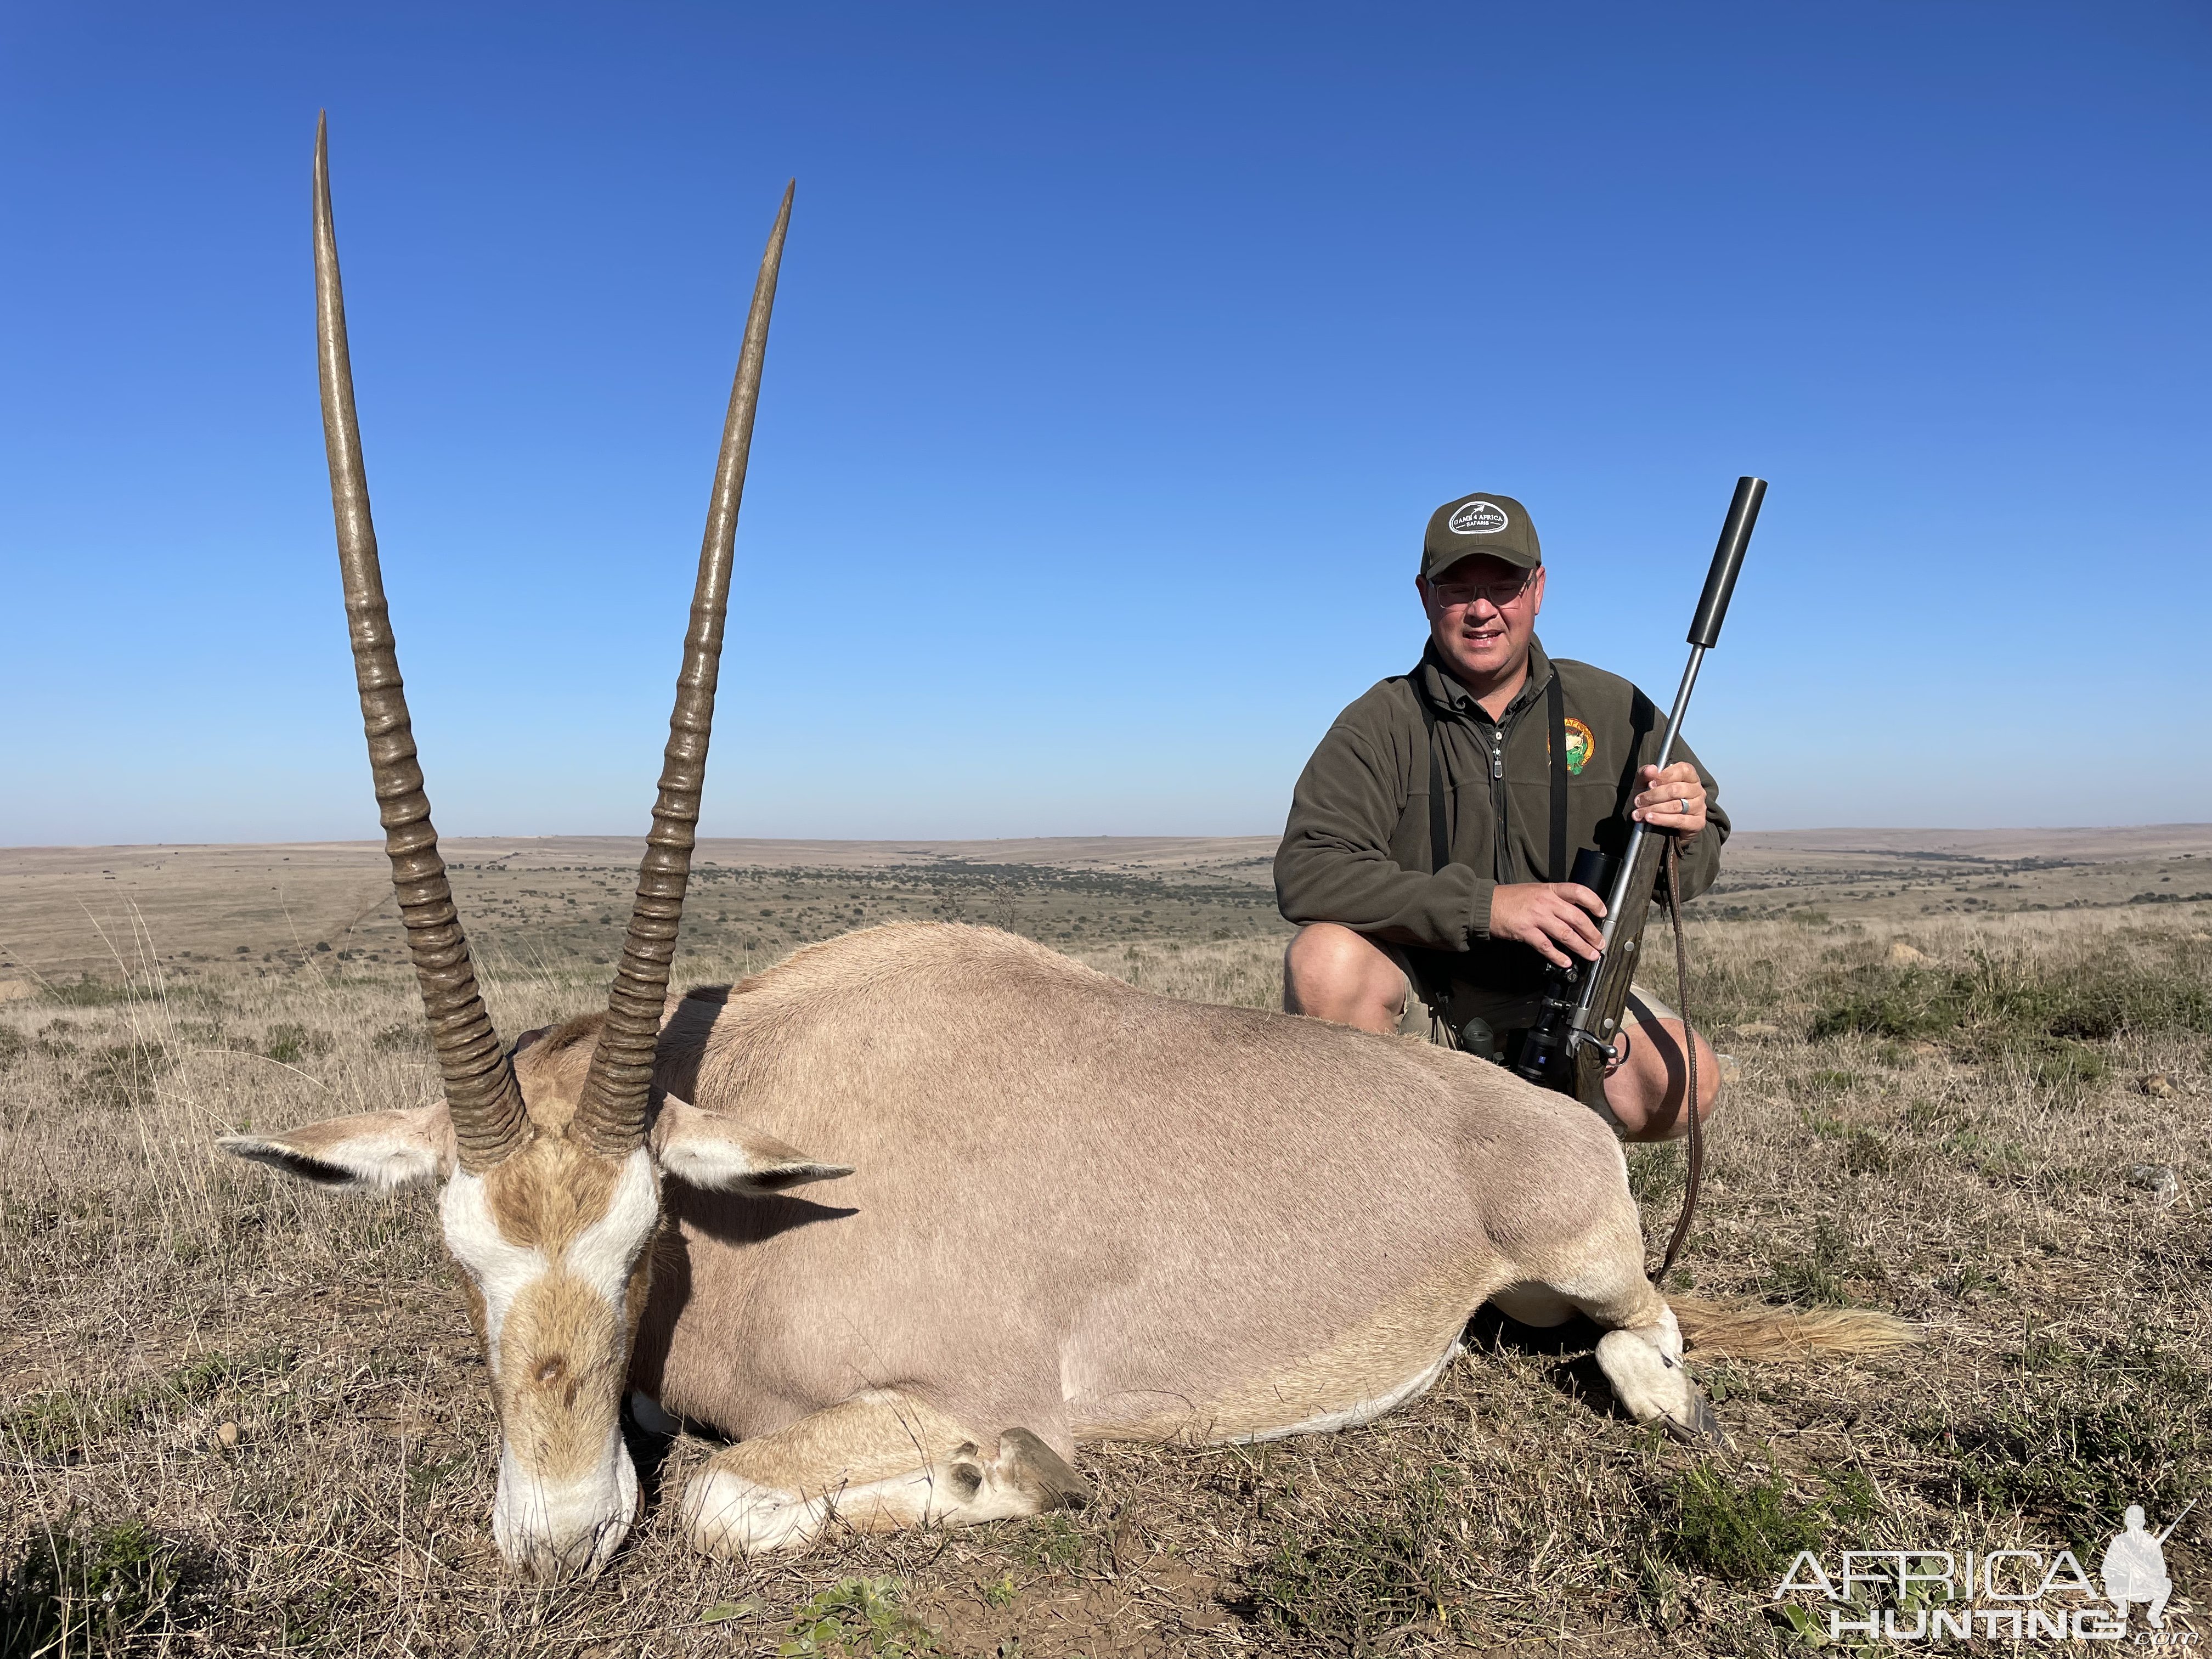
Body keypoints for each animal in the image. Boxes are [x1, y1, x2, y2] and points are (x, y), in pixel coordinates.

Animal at [229, 120, 1920, 1583]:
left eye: (645, 1240)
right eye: (461, 1258)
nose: (558, 1534)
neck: (779, 1145)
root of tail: (1530, 1109)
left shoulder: (943, 1383)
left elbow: (731, 1498)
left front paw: (1001, 1479)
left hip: (1594, 1256)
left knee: (1650, 1341)